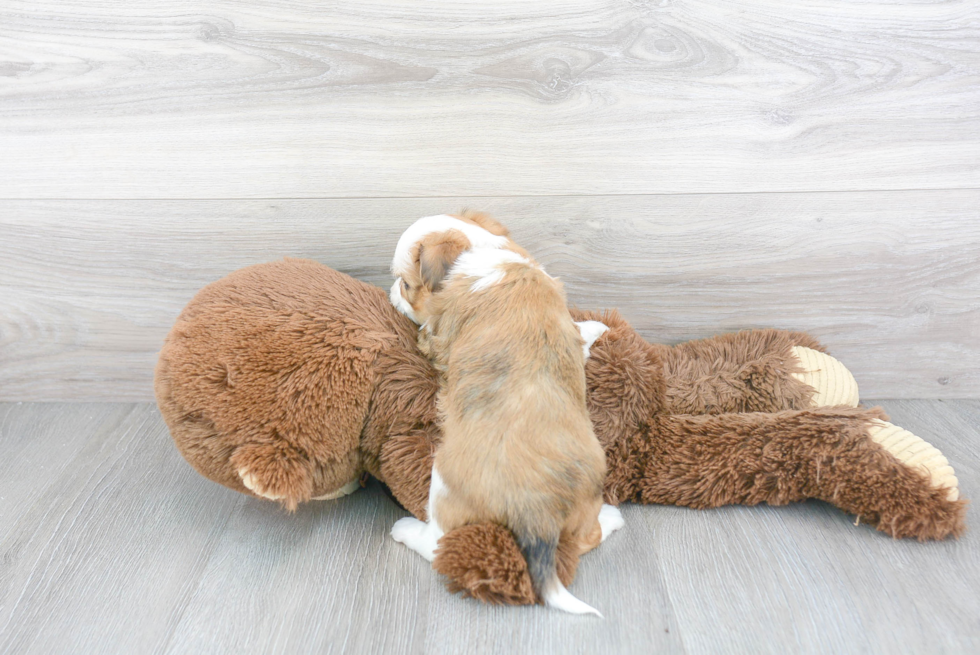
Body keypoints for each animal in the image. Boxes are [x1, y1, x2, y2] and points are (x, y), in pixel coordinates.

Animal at [388, 213, 624, 616]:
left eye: (406, 285)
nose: (390, 290)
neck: (482, 250)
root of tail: (538, 509)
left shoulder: (436, 336)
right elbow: (580, 333)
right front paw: (594, 329)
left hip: (444, 481)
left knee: (439, 542)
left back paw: (405, 530)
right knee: (585, 538)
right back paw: (611, 517)